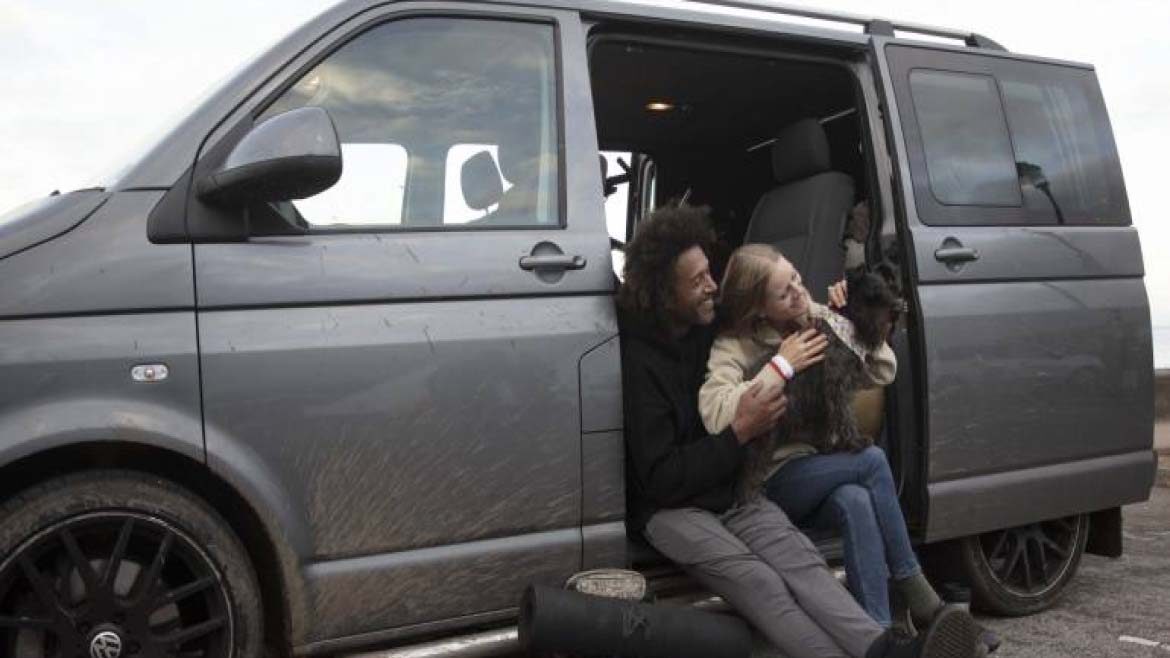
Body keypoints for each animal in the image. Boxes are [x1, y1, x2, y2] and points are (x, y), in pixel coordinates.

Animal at [739, 264, 903, 496]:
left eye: (891, 287)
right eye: (873, 294)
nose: (898, 307)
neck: (849, 323)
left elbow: (836, 419)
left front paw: (832, 446)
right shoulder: (837, 385)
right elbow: (844, 416)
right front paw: (854, 442)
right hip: (765, 434)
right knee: (751, 471)